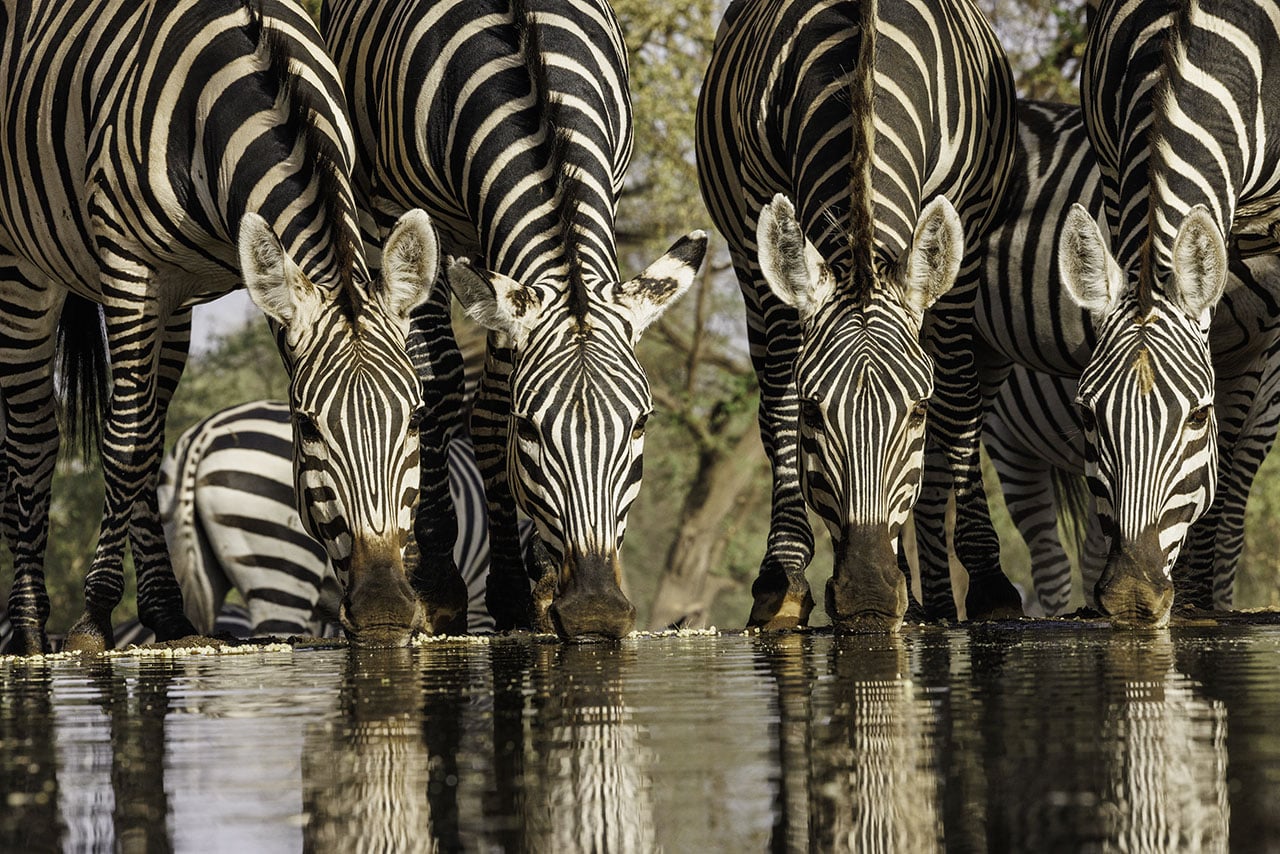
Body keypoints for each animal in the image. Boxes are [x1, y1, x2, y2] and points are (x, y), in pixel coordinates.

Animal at [0, 1, 445, 655]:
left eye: (415, 417)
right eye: (305, 426)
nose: (386, 613)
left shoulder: (182, 284)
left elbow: (142, 443)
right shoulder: (131, 266)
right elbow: (122, 444)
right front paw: (93, 619)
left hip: (167, 306)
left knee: (148, 430)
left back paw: (167, 614)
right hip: (27, 267)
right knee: (36, 438)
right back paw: (31, 627)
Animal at [320, 0, 706, 637]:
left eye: (641, 425)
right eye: (530, 430)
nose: (596, 610)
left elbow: (493, 404)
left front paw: (530, 586)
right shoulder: (398, 213)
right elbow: (440, 386)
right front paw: (444, 586)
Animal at [696, 0, 1013, 632]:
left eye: (917, 412)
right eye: (814, 413)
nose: (868, 595)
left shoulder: (963, 229)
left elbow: (960, 398)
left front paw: (987, 579)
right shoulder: (757, 210)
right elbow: (779, 399)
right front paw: (783, 578)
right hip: (745, 259)